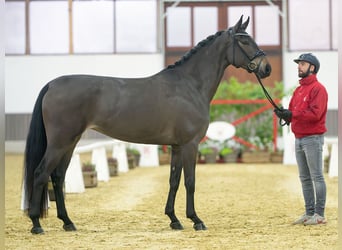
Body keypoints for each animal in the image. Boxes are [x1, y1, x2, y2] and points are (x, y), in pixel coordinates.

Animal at [22, 16, 272, 234]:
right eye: (244, 41)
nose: (266, 68)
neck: (190, 85)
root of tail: (52, 85)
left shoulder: (177, 146)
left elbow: (174, 180)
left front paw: (174, 219)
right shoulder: (190, 144)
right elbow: (190, 181)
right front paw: (196, 219)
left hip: (70, 142)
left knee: (58, 176)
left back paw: (67, 222)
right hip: (60, 142)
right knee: (41, 173)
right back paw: (36, 223)